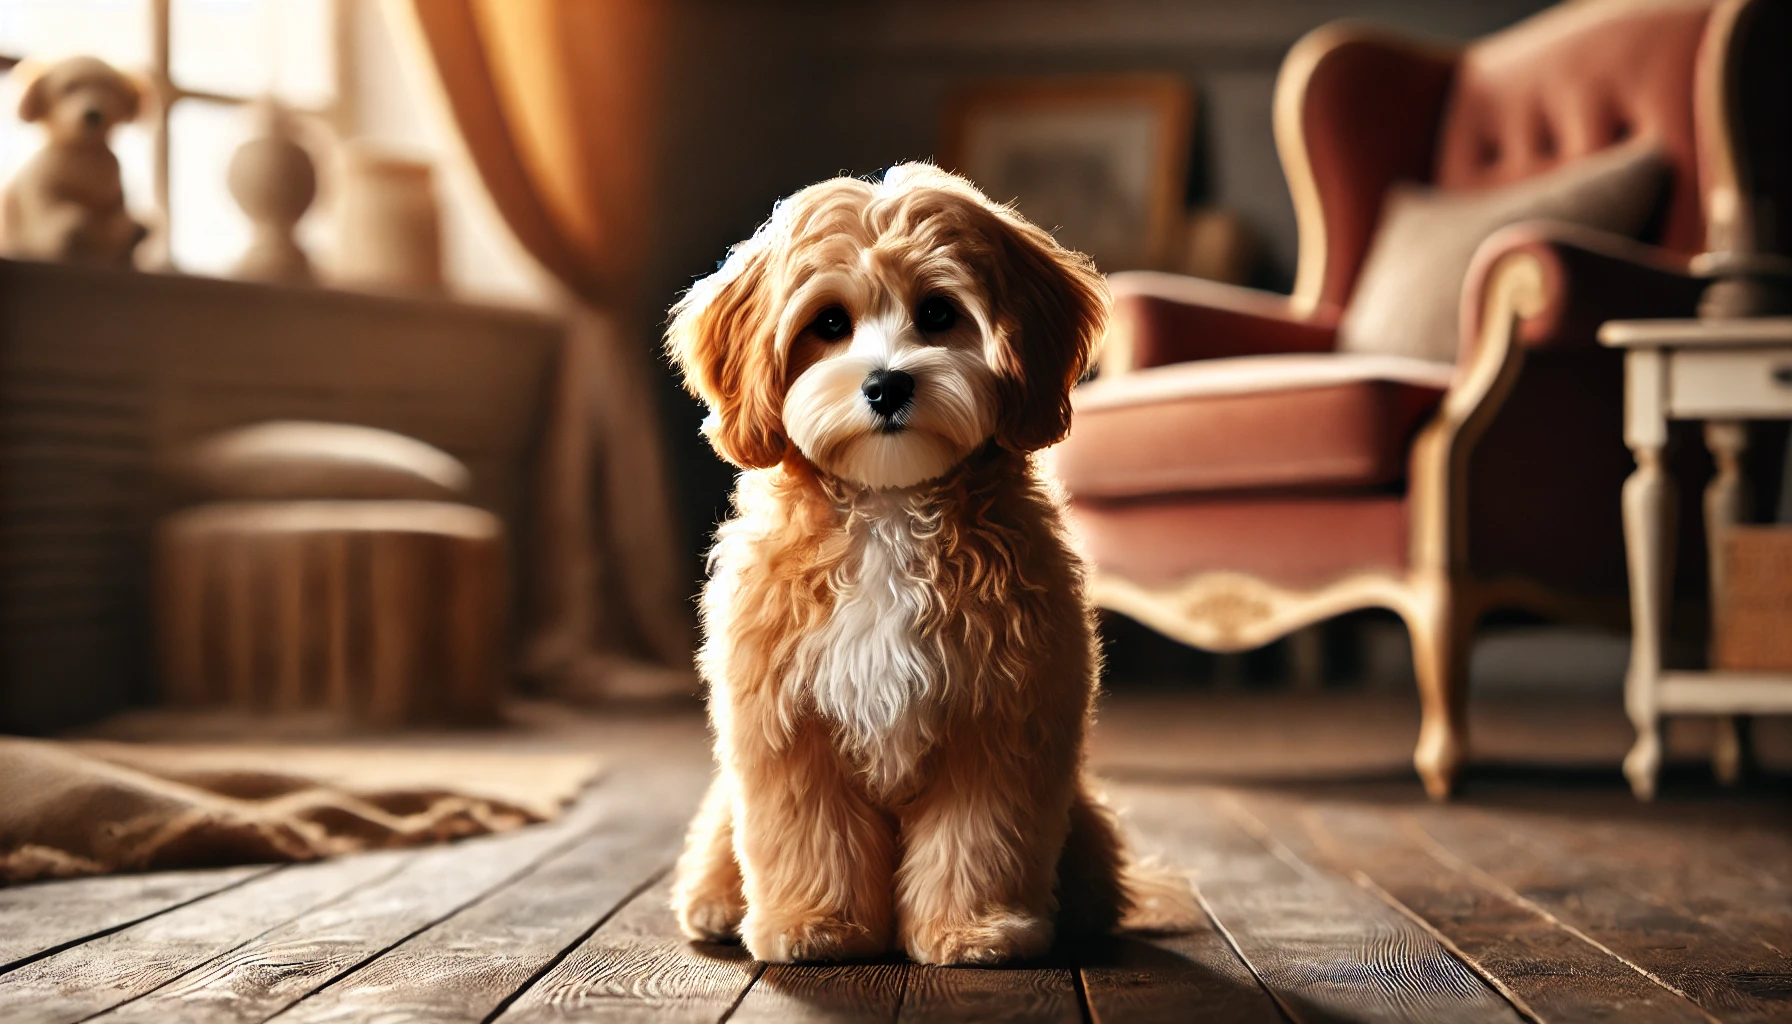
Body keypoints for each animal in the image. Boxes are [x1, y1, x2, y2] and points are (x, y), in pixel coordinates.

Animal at [666, 164, 1182, 968]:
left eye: (938, 313)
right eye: (830, 324)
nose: (887, 385)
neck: (889, 509)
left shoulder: (1002, 719)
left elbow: (980, 836)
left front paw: (977, 930)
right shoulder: (790, 725)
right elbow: (806, 831)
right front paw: (815, 924)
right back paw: (719, 904)